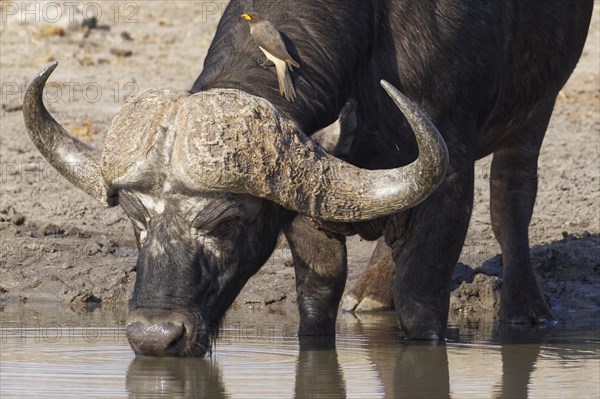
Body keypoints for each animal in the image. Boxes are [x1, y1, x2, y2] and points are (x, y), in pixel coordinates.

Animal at [22, 0, 592, 356]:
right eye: (136, 220)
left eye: (227, 223)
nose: (153, 337)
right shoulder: (308, 204)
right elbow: (317, 302)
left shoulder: (450, 183)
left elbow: (420, 303)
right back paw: (371, 293)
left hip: (537, 107)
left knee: (512, 197)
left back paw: (526, 308)